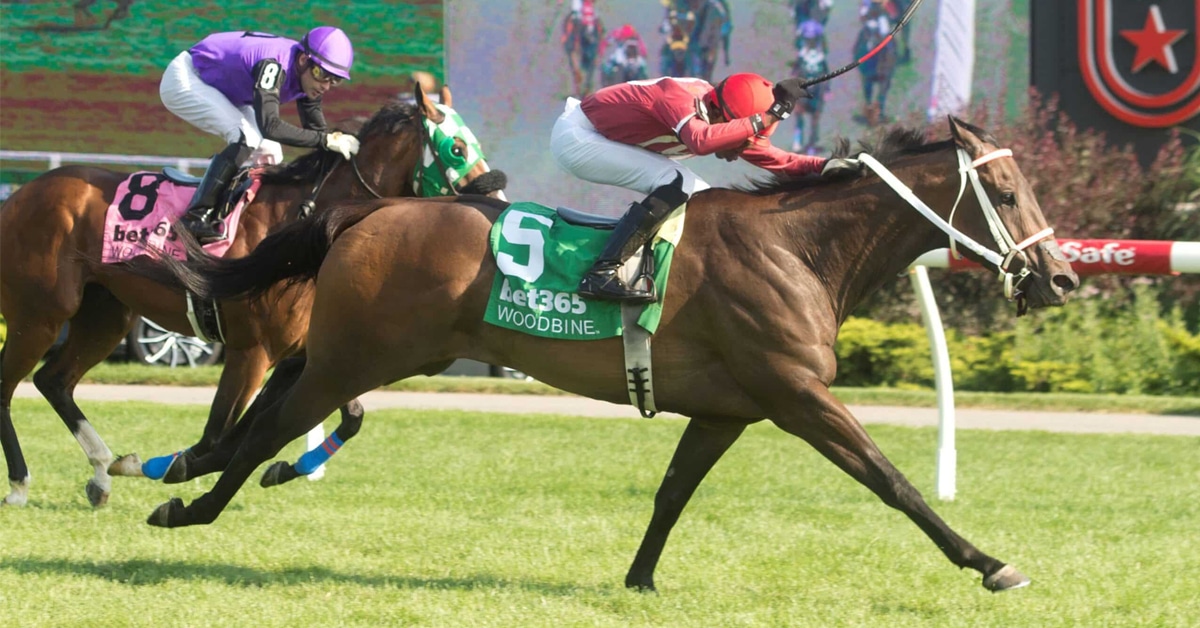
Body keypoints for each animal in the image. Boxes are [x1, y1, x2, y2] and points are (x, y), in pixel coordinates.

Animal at [0, 84, 508, 508]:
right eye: (457, 148)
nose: (498, 204)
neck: (302, 225)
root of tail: (18, 194)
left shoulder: (314, 352)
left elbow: (351, 416)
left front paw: (285, 468)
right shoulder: (253, 351)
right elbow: (215, 436)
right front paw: (161, 466)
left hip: (105, 314)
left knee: (55, 381)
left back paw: (102, 473)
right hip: (39, 314)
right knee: (12, 384)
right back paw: (22, 484)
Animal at [120, 118, 1077, 592]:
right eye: (1002, 190)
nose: (1062, 276)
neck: (799, 247)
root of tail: (366, 211)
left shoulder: (728, 408)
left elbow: (671, 494)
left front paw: (640, 580)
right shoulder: (798, 394)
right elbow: (893, 482)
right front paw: (990, 564)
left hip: (349, 348)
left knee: (268, 403)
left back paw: (181, 469)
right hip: (356, 358)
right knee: (269, 428)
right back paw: (187, 504)